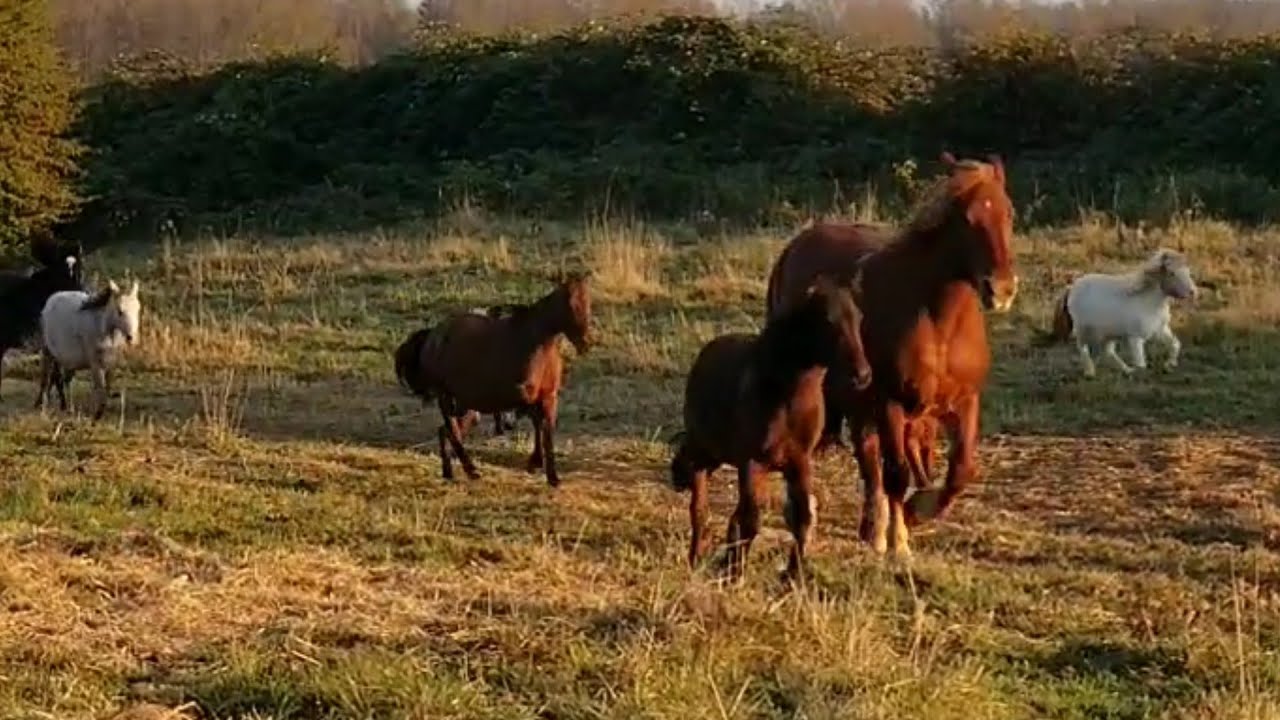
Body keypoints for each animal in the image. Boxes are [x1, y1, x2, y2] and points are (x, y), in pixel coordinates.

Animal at [37, 280, 143, 420]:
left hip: (67, 359)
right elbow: (100, 387)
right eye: (120, 311)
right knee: (46, 377)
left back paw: (67, 407)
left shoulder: (111, 364)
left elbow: (107, 388)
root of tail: (50, 301)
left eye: (138, 309)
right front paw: (97, 414)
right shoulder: (96, 365)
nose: (132, 338)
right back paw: (42, 405)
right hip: (48, 353)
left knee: (63, 380)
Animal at [400, 272, 593, 486]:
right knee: (452, 431)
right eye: (569, 304)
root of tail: (432, 336)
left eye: (588, 303)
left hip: (463, 403)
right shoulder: (521, 394)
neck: (536, 344)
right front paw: (534, 460)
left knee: (447, 430)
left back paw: (449, 472)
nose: (586, 342)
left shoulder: (549, 397)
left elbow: (545, 431)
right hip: (447, 397)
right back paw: (472, 470)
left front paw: (549, 474)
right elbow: (536, 421)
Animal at [669, 274, 873, 583]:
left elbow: (801, 518)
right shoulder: (751, 462)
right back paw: (697, 556)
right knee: (699, 504)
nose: (862, 376)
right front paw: (735, 573)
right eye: (827, 320)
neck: (785, 396)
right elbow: (751, 520)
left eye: (859, 317)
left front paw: (792, 575)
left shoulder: (798, 462)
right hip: (706, 453)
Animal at [766, 152, 1019, 558]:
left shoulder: (964, 402)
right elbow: (897, 474)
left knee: (869, 461)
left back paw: (872, 527)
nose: (1002, 289)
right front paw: (900, 540)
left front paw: (917, 512)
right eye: (967, 218)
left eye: (1009, 212)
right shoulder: (890, 403)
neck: (938, 322)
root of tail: (796, 246)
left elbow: (960, 470)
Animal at [1038, 248, 1197, 377]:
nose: (1193, 292)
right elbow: (1141, 364)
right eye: (1172, 273)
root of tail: (1071, 287)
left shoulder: (1160, 330)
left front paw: (1169, 365)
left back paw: (1126, 370)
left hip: (1108, 333)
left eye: (1188, 270)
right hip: (1083, 330)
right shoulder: (1135, 338)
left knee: (1108, 352)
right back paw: (1090, 372)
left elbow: (1175, 344)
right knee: (1083, 348)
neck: (1149, 302)